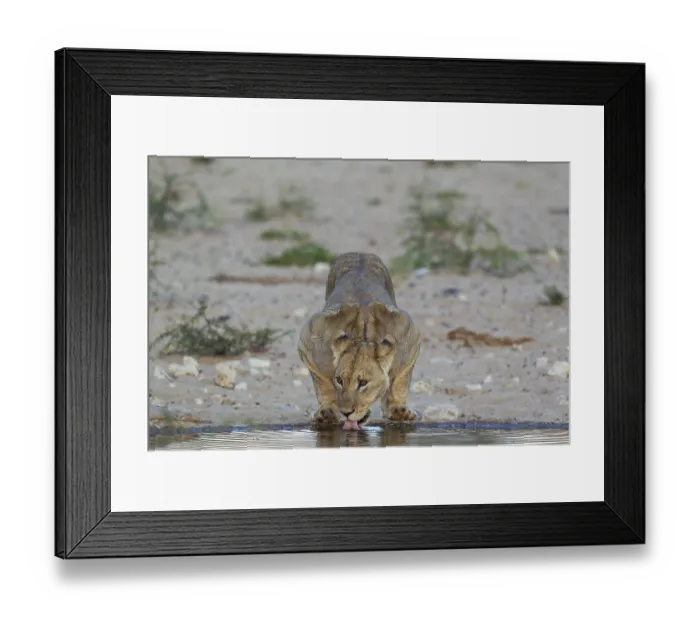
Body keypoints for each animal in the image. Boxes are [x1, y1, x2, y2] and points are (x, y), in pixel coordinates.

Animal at [297, 252, 421, 430]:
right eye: (339, 380)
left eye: (363, 383)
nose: (346, 412)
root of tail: (359, 254)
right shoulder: (310, 341)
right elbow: (322, 382)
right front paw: (327, 413)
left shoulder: (409, 338)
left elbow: (400, 381)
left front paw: (398, 411)